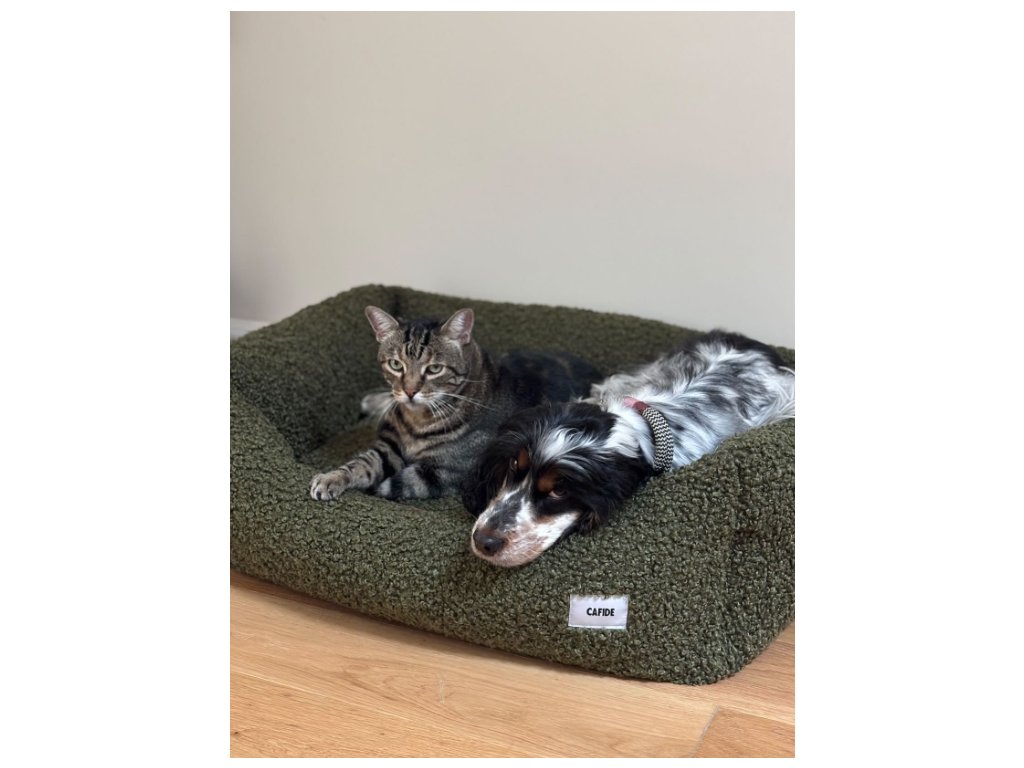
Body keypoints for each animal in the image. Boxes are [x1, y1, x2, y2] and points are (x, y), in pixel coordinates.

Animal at [310, 305, 602, 501]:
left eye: (434, 369)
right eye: (395, 364)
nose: (409, 391)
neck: (418, 420)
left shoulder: (441, 474)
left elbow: (390, 484)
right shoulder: (387, 447)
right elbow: (361, 463)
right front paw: (331, 478)